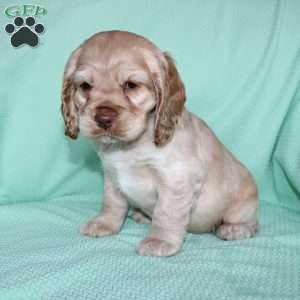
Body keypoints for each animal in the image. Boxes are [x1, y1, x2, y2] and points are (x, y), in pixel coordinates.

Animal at [60, 29, 258, 255]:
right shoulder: (111, 175)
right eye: (85, 86)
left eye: (131, 85)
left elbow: (166, 213)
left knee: (252, 224)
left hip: (243, 206)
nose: (103, 118)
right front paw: (104, 223)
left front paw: (159, 241)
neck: (128, 146)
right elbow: (112, 203)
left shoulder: (176, 179)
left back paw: (234, 229)